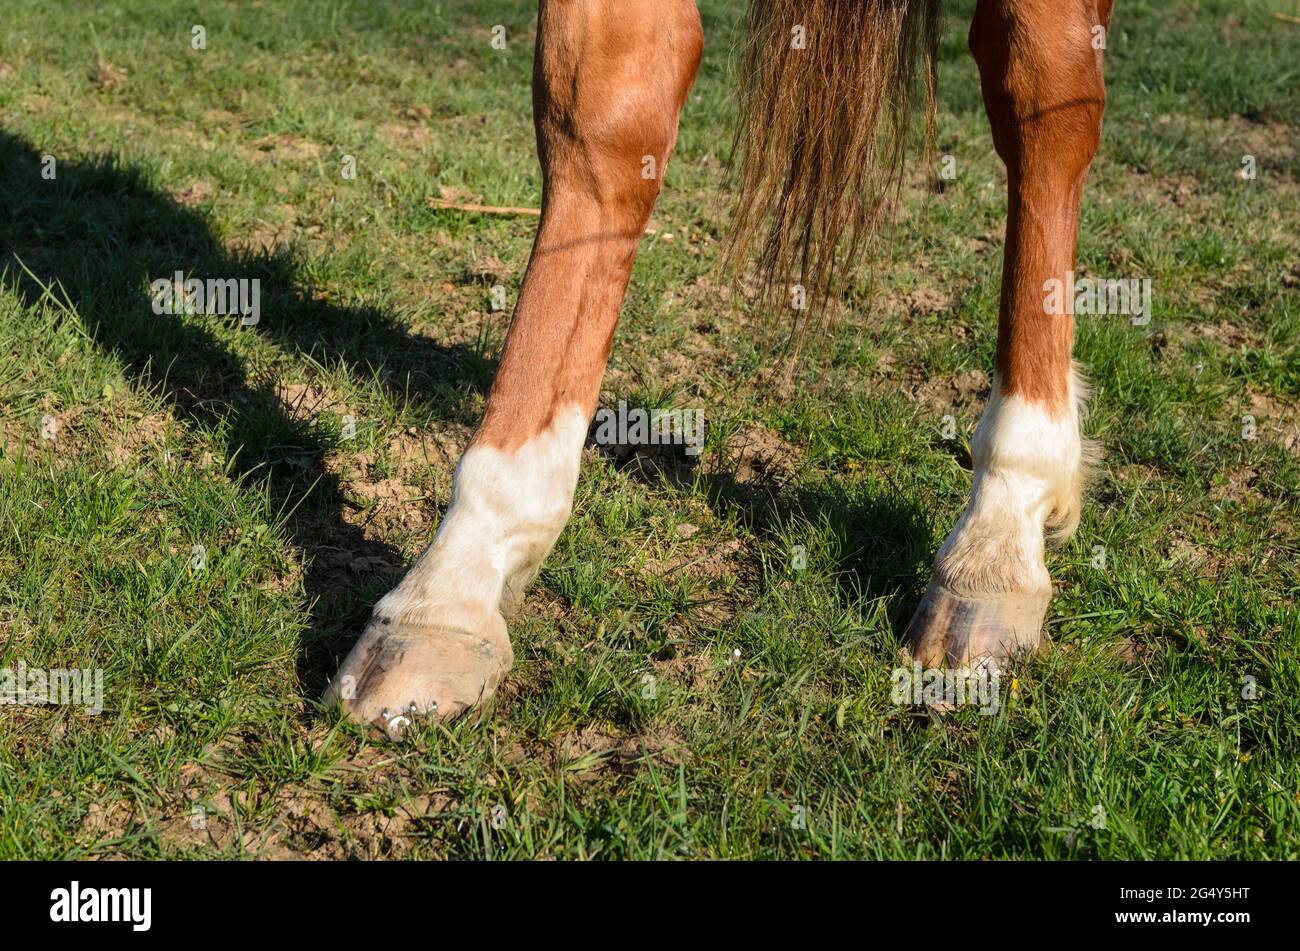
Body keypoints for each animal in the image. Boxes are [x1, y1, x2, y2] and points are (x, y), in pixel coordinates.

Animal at [325, 0, 1115, 738]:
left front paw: (1005, 521)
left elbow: (1044, 85)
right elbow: (603, 113)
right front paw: (453, 585)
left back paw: (998, 529)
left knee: (1044, 98)